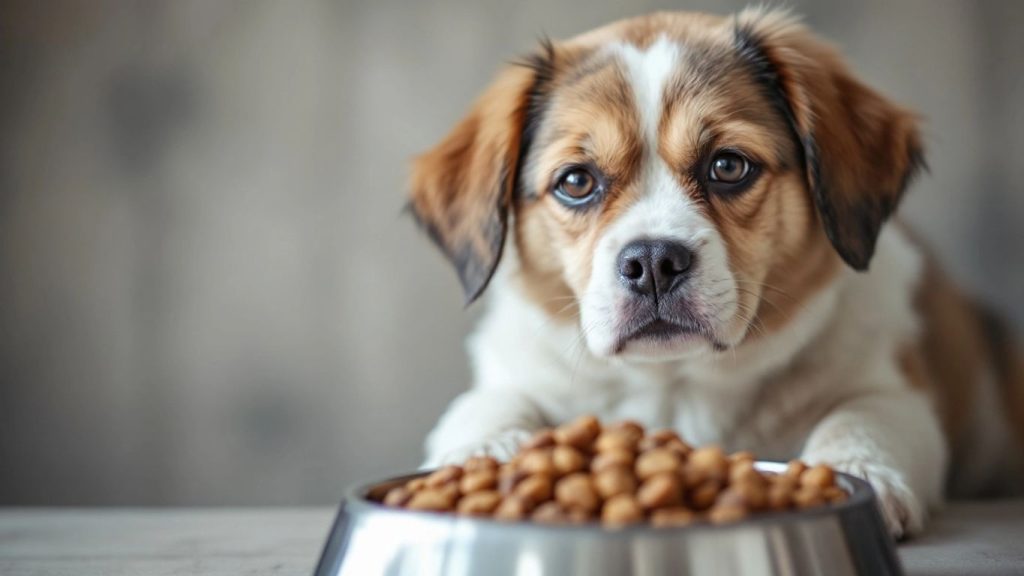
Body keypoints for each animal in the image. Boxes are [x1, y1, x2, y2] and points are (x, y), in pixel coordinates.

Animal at [403, 6, 1019, 537]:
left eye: (727, 165)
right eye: (576, 181)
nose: (653, 263)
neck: (678, 382)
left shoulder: (895, 388)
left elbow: (864, 415)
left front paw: (859, 469)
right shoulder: (513, 372)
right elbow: (486, 405)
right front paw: (480, 458)